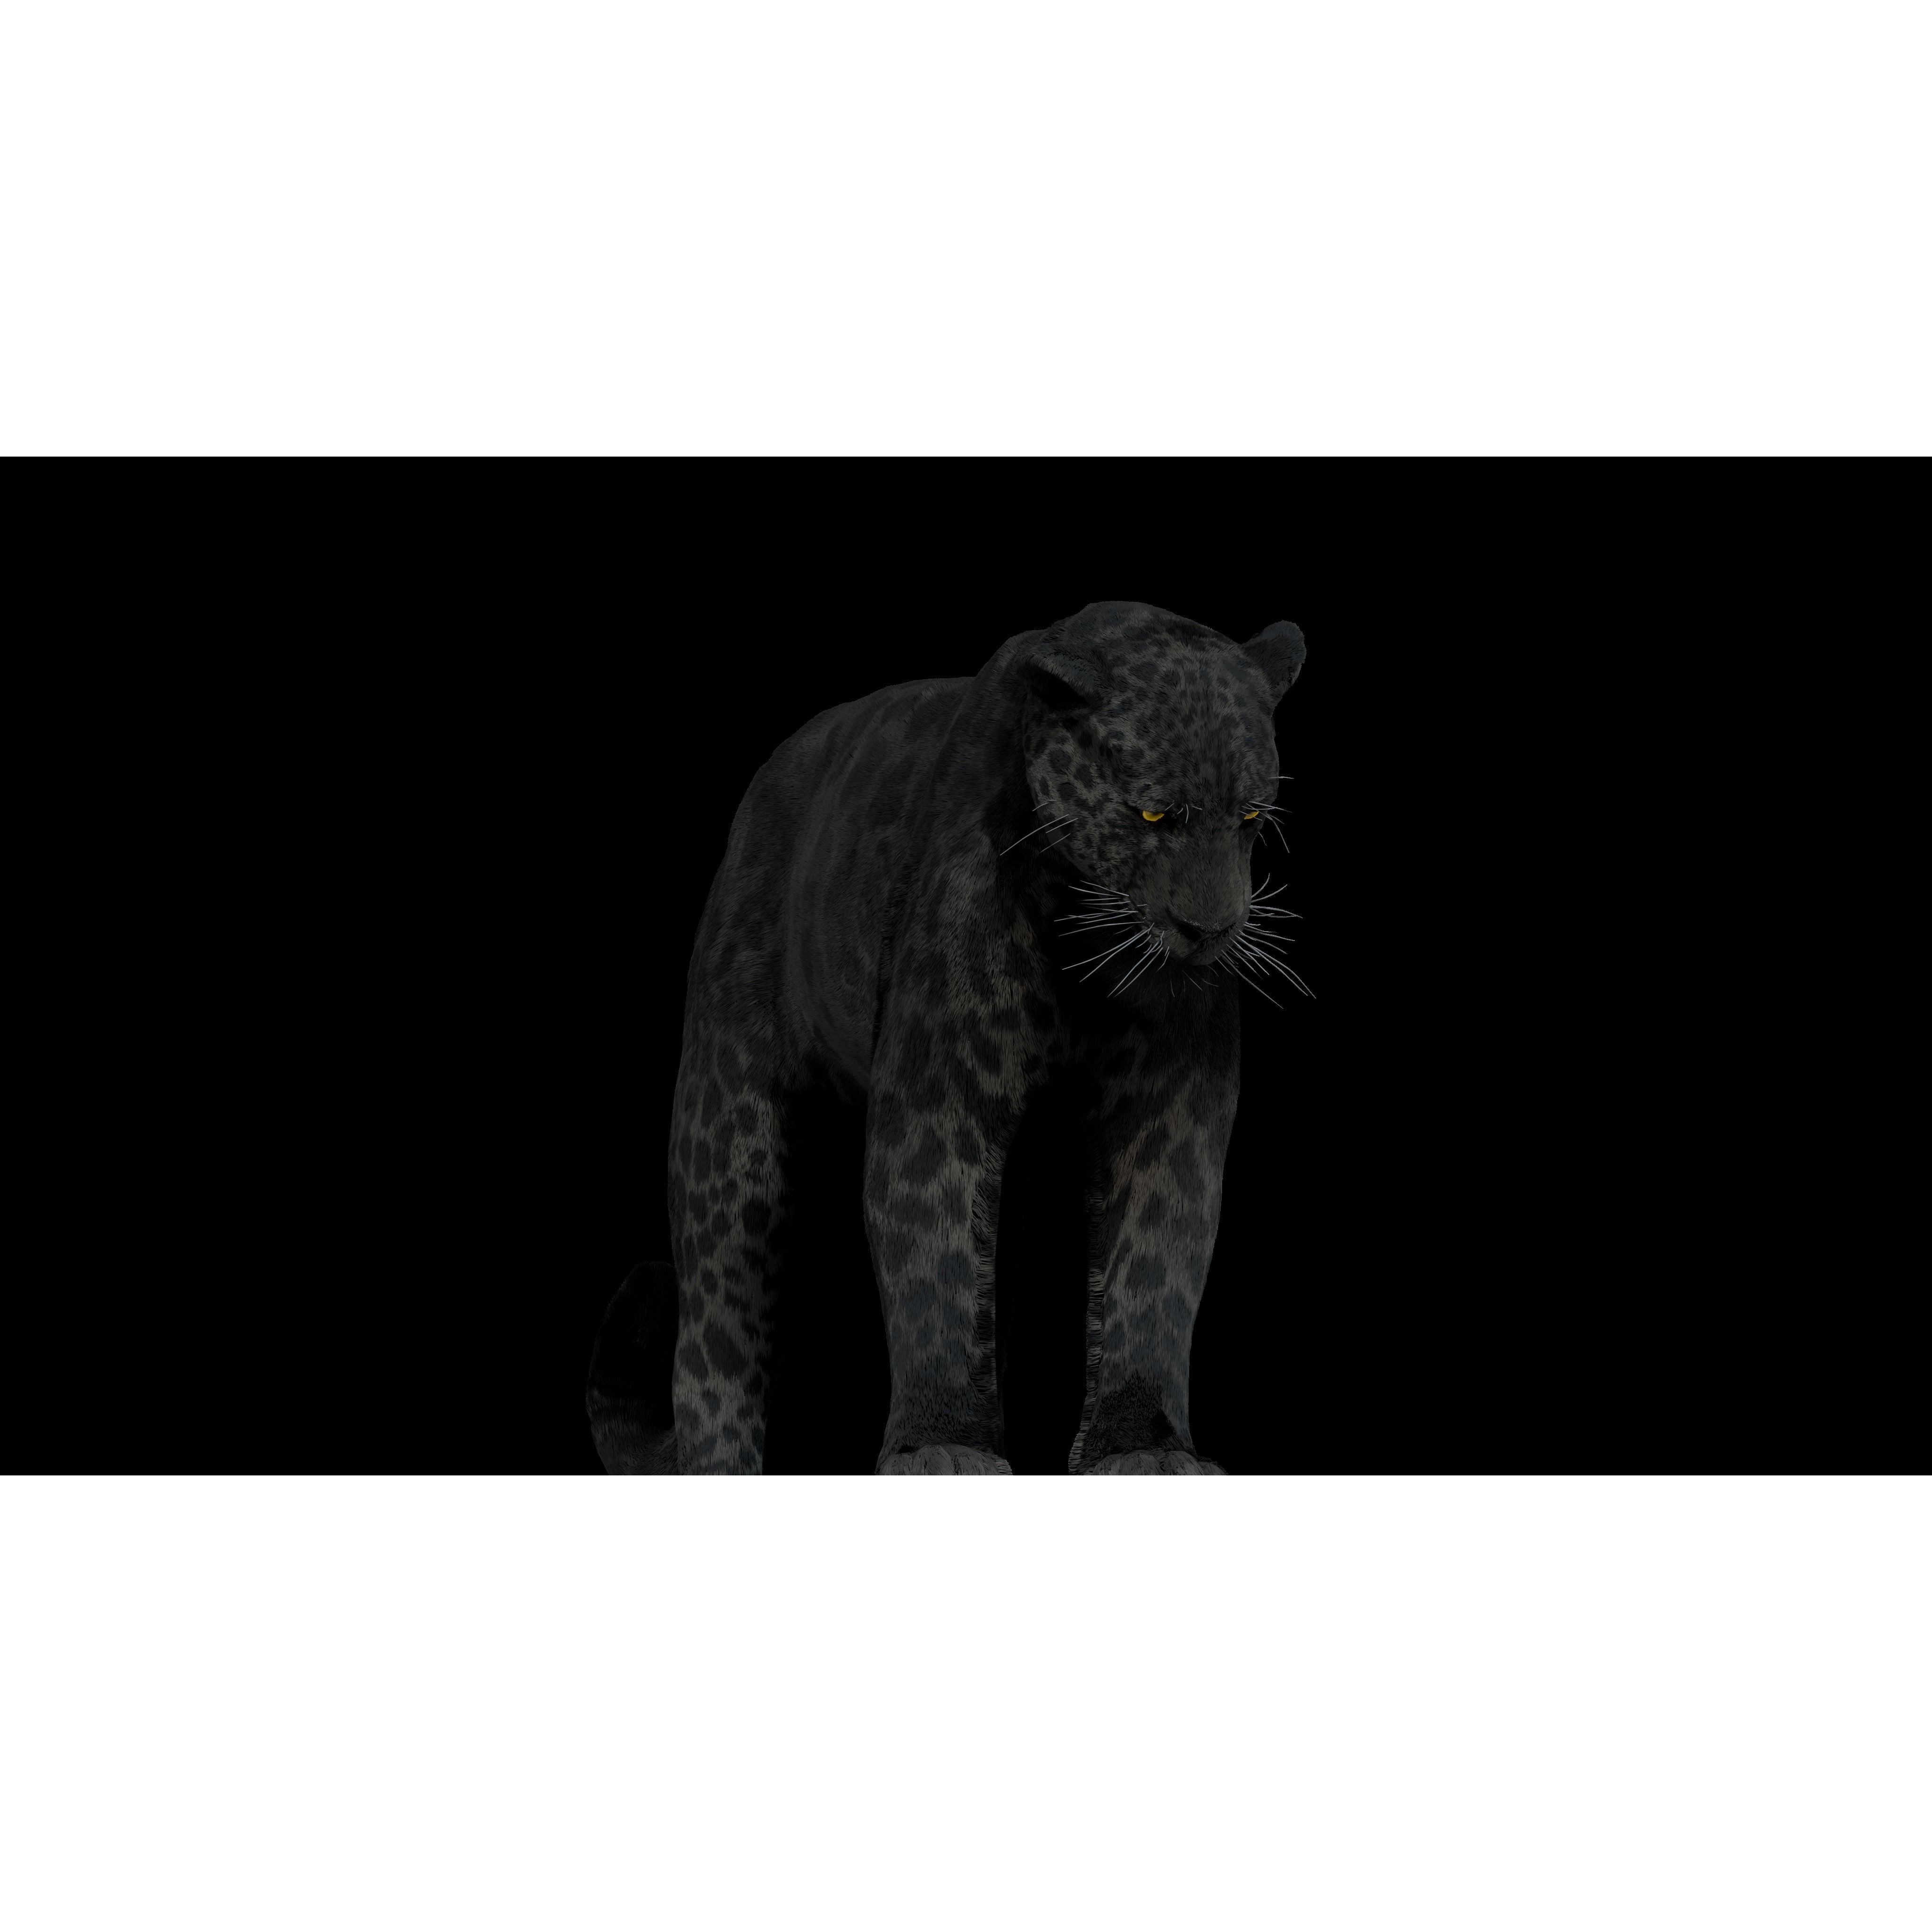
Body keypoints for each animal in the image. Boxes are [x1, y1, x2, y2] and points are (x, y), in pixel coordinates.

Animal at [586, 599, 1308, 1474]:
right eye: (1152, 814)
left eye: (1251, 816)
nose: (1210, 930)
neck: (1081, 945)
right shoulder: (942, 1093)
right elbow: (935, 1256)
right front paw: (942, 1446)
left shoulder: (1166, 1111)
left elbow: (1155, 1266)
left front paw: (1147, 1447)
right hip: (730, 1131)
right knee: (716, 1326)